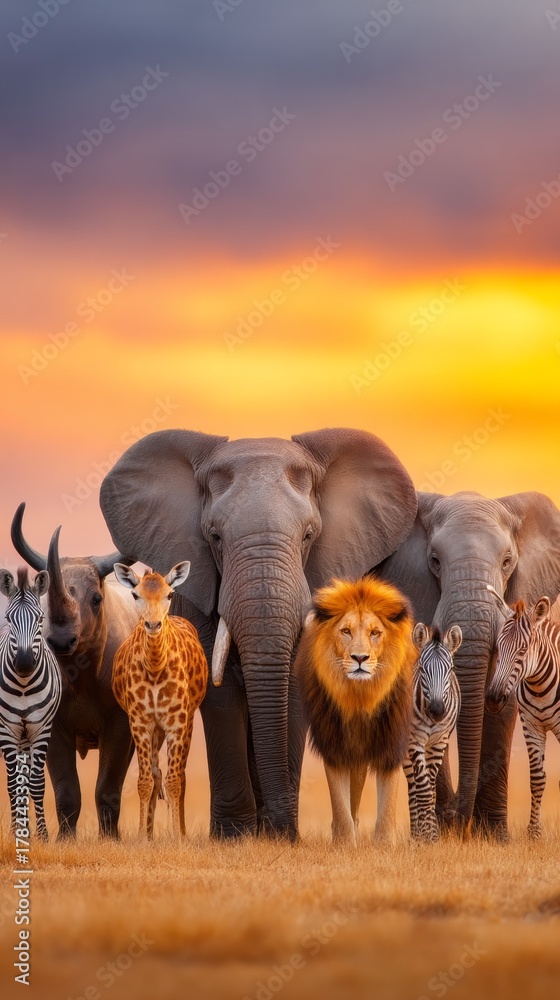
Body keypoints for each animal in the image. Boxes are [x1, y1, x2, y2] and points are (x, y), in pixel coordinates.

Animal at [295, 575, 416, 846]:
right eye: (346, 631)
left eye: (375, 633)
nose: (360, 658)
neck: (360, 698)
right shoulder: (334, 744)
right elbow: (340, 805)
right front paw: (344, 844)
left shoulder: (391, 742)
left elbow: (387, 805)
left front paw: (384, 845)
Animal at [403, 622, 462, 842]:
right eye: (422, 669)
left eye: (451, 669)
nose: (437, 711)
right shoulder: (415, 742)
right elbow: (424, 789)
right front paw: (428, 835)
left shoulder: (439, 742)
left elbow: (431, 785)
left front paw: (432, 834)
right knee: (413, 787)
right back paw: (416, 836)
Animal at [486, 589, 560, 839]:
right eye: (498, 648)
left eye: (523, 650)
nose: (493, 699)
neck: (540, 688)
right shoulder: (531, 725)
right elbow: (537, 779)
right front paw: (534, 833)